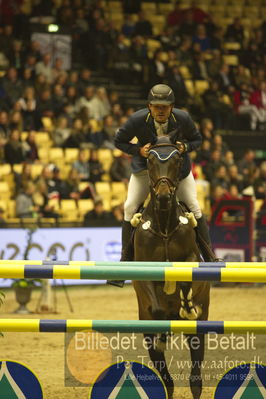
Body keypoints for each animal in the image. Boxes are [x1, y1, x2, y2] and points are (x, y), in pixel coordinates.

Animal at [132, 137, 210, 399]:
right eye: (149, 160)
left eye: (177, 160)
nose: (165, 197)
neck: (165, 225)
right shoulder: (144, 270)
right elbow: (156, 308)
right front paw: (163, 333)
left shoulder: (190, 258)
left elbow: (185, 280)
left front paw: (187, 307)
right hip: (147, 335)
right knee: (167, 379)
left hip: (198, 331)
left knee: (195, 377)